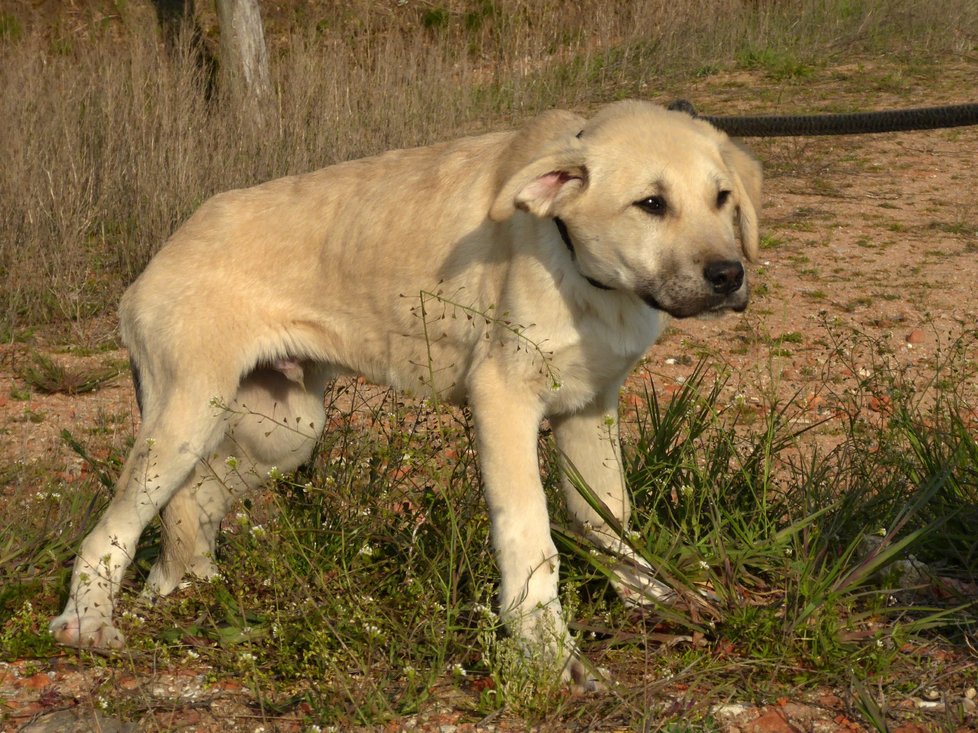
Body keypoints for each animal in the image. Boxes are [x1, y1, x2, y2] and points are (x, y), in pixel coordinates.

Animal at [49, 98, 760, 680]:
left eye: (724, 198)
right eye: (651, 204)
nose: (729, 276)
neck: (572, 260)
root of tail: (159, 258)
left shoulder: (588, 409)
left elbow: (608, 519)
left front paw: (655, 601)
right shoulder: (503, 402)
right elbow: (531, 540)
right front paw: (547, 656)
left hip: (286, 427)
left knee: (191, 503)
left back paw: (188, 586)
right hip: (185, 418)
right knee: (111, 531)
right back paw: (86, 623)